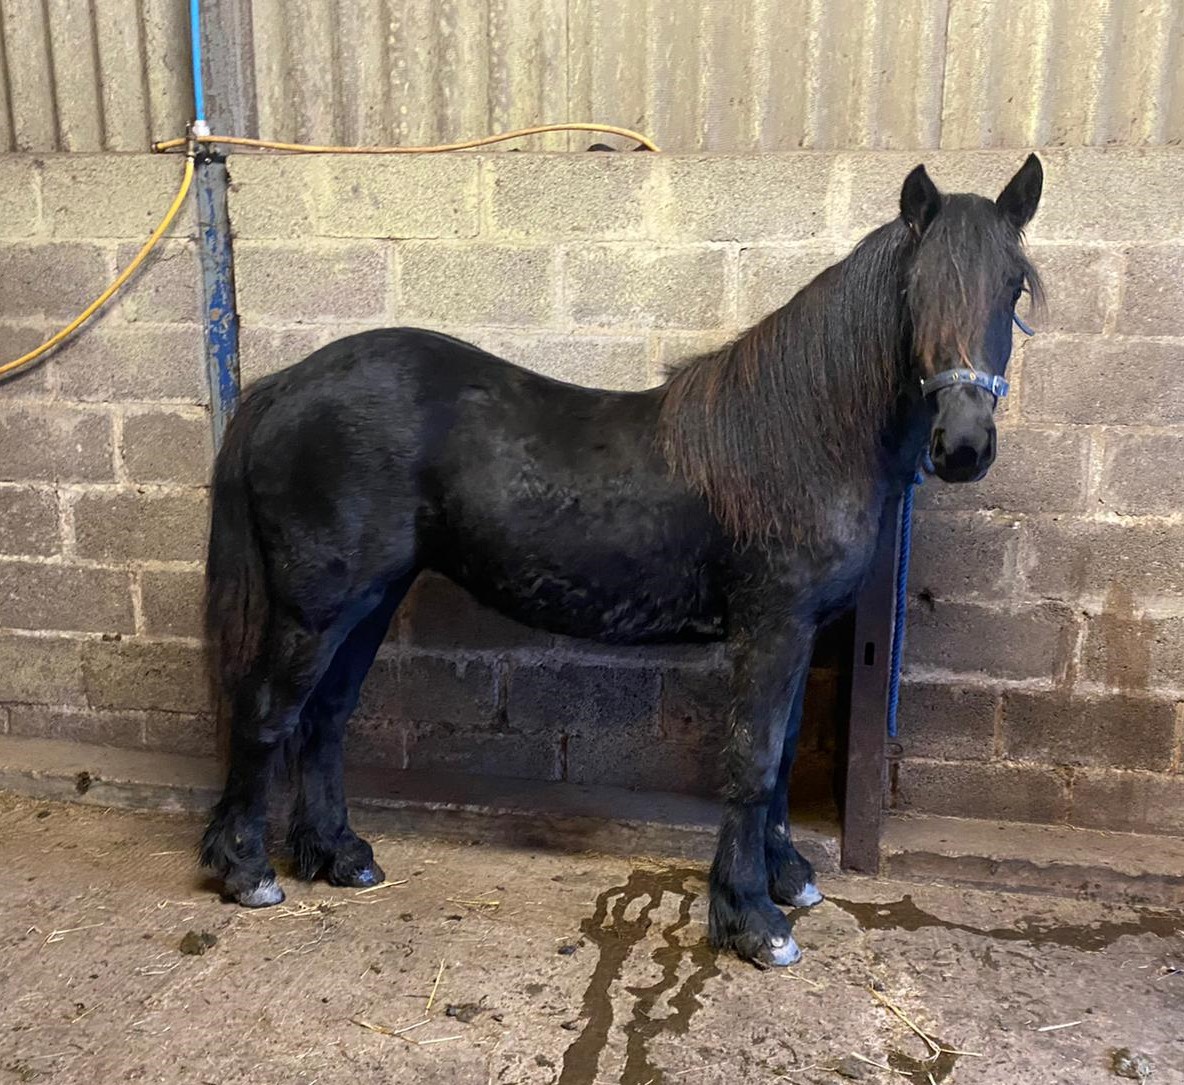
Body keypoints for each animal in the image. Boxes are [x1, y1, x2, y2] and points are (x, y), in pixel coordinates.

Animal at [198, 155, 1041, 966]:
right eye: (917, 290)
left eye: (1012, 287)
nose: (964, 446)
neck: (802, 439)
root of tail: (281, 387)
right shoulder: (771, 627)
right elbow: (754, 758)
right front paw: (752, 918)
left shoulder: (796, 633)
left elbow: (782, 753)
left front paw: (787, 878)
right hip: (318, 607)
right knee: (268, 711)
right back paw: (246, 871)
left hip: (372, 598)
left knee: (325, 716)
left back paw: (339, 855)